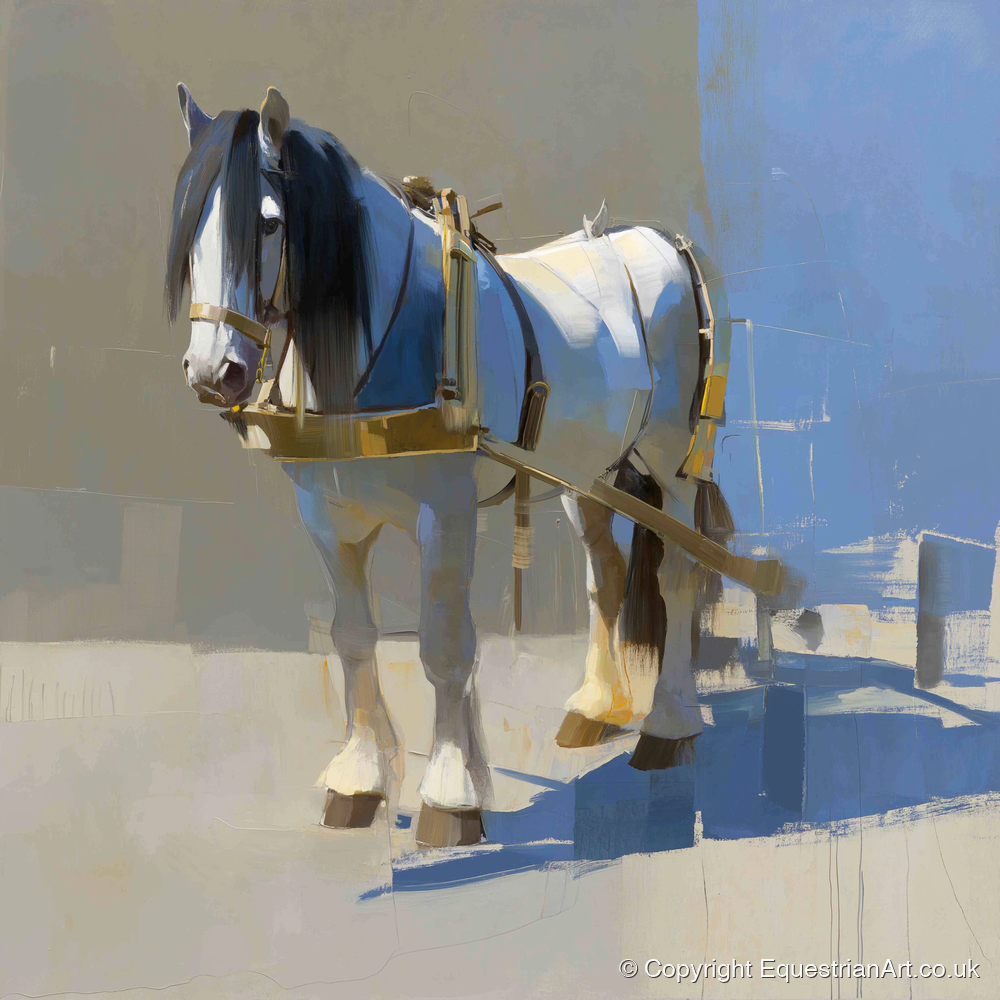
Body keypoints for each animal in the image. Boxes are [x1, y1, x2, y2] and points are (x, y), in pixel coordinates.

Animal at [167, 84, 736, 848]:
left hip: (672, 468)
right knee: (608, 577)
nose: (212, 372)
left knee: (676, 576)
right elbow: (354, 638)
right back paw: (594, 708)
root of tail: (661, 242)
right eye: (191, 231)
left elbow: (443, 647)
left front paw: (451, 794)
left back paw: (668, 726)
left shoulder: (446, 515)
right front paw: (362, 781)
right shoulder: (329, 519)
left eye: (268, 224)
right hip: (587, 474)